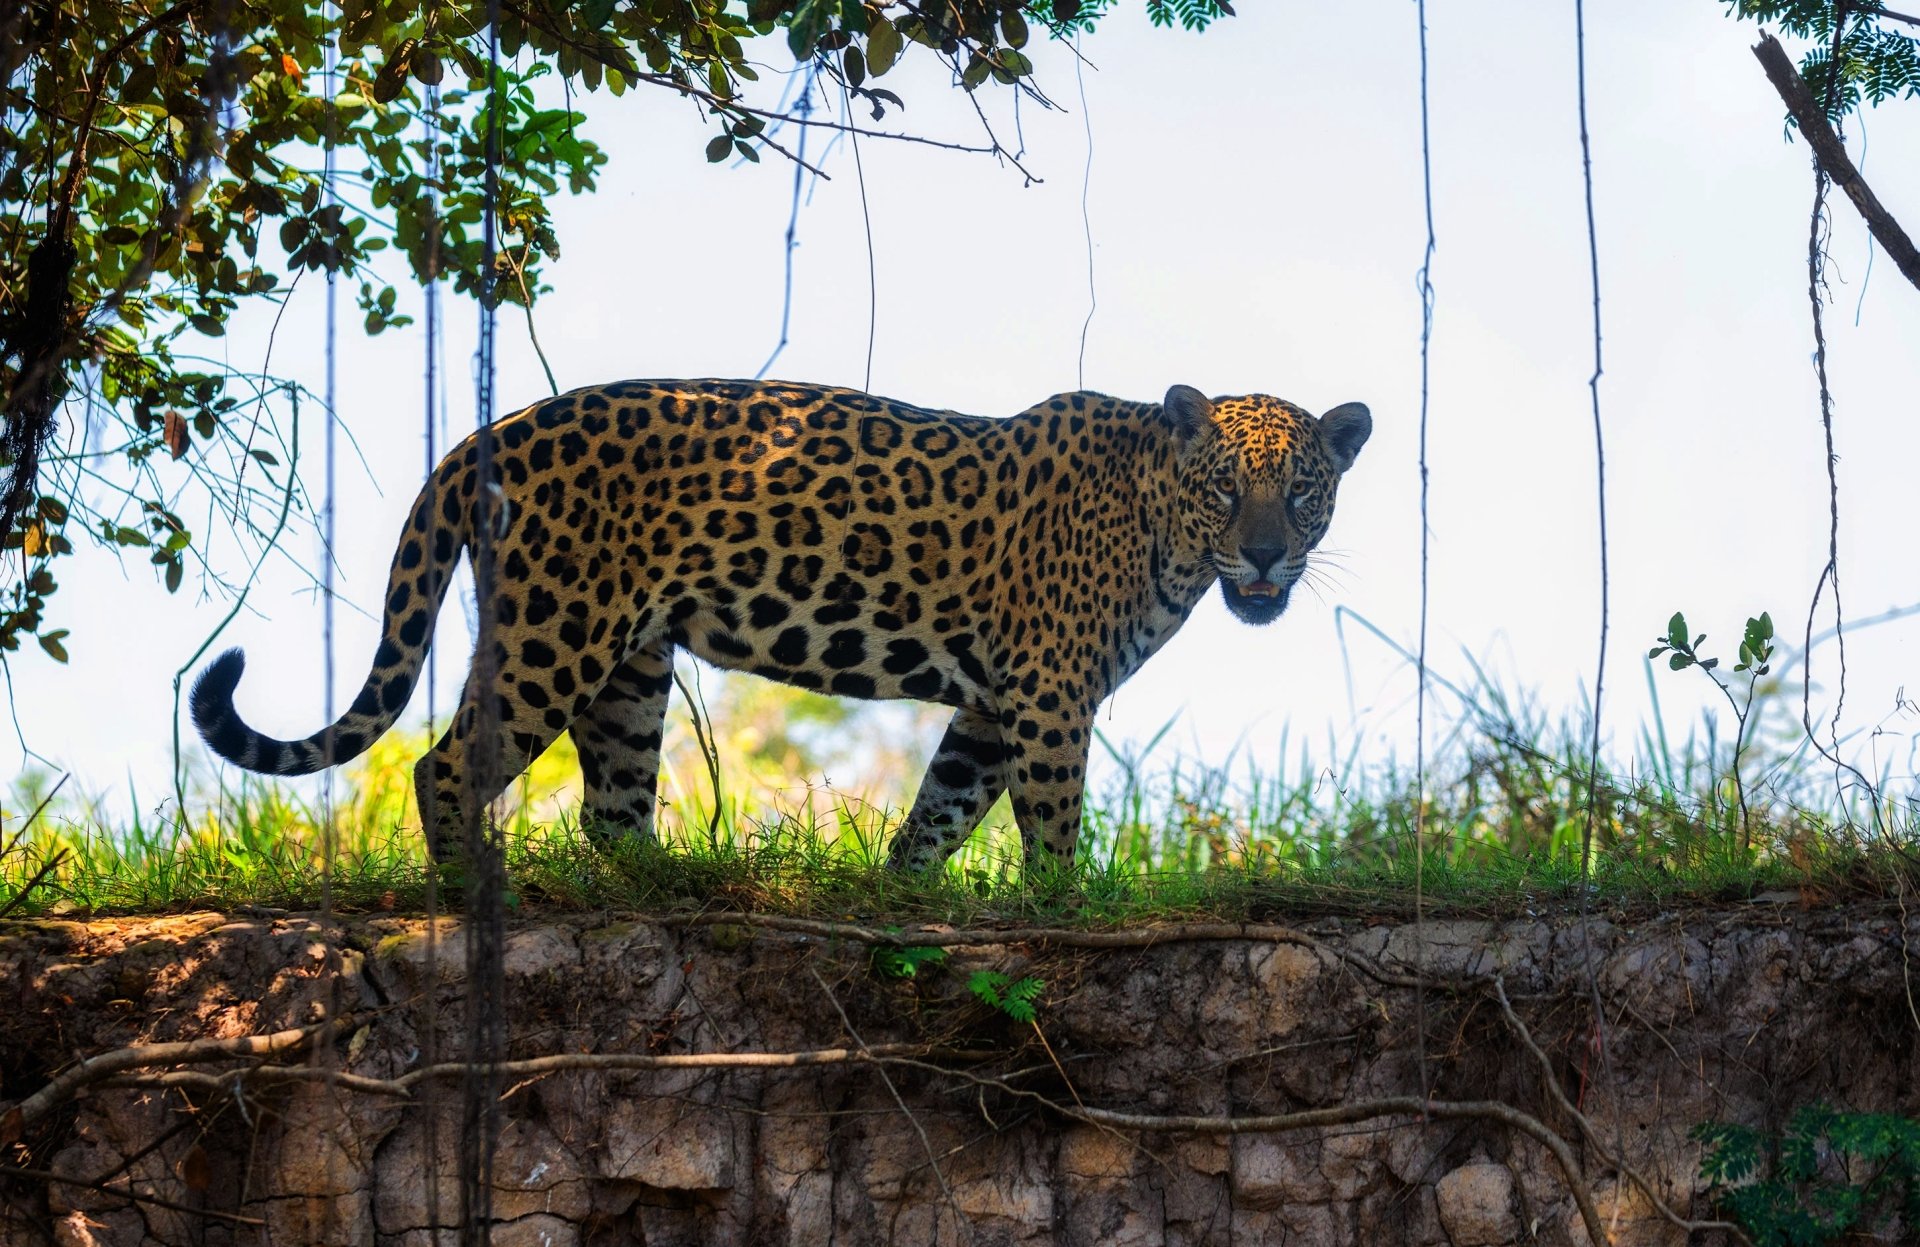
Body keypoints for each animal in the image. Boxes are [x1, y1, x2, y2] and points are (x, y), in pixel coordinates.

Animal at [191, 379, 1371, 872]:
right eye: (1225, 490)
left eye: (1303, 490)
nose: (1267, 555)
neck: (1159, 532)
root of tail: (495, 428)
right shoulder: (1046, 695)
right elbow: (1053, 822)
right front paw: (1061, 909)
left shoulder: (994, 704)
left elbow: (941, 811)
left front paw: (901, 897)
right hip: (556, 629)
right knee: (444, 765)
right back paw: (476, 888)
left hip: (630, 661)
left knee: (611, 809)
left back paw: (666, 888)